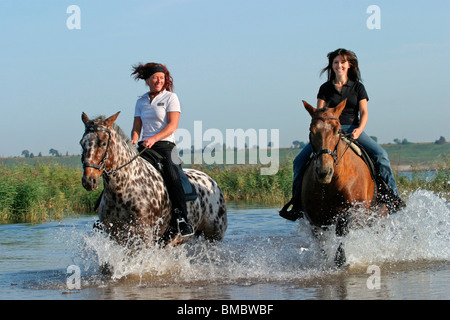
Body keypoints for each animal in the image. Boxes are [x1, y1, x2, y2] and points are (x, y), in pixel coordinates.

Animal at [300, 101, 384, 266]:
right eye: (311, 131)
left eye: (337, 130)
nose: (324, 171)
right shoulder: (315, 216)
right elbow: (322, 239)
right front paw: (325, 260)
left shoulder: (352, 210)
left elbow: (342, 231)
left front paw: (341, 260)